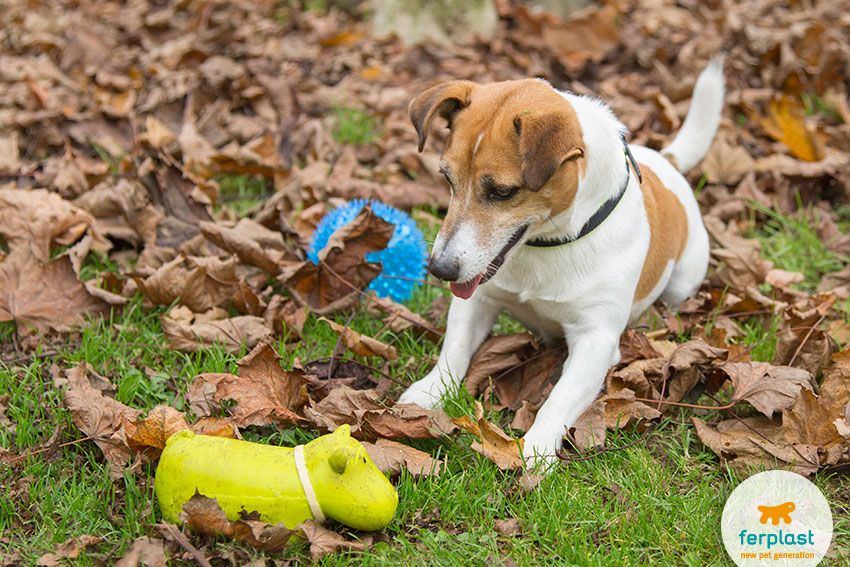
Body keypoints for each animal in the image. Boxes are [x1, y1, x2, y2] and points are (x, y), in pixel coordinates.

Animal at [398, 58, 724, 470]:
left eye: (502, 192)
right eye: (447, 178)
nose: (440, 269)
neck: (547, 244)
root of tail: (665, 161)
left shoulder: (595, 339)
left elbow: (560, 397)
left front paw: (537, 446)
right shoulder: (478, 299)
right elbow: (454, 349)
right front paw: (429, 392)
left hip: (684, 281)